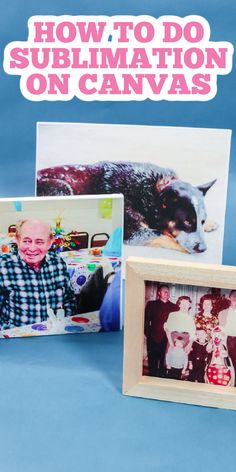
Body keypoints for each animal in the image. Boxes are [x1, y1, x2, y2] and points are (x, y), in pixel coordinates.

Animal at [37, 160, 218, 254]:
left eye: (201, 221)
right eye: (187, 221)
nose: (203, 248)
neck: (150, 192)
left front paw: (211, 223)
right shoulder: (135, 232)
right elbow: (165, 236)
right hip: (62, 187)